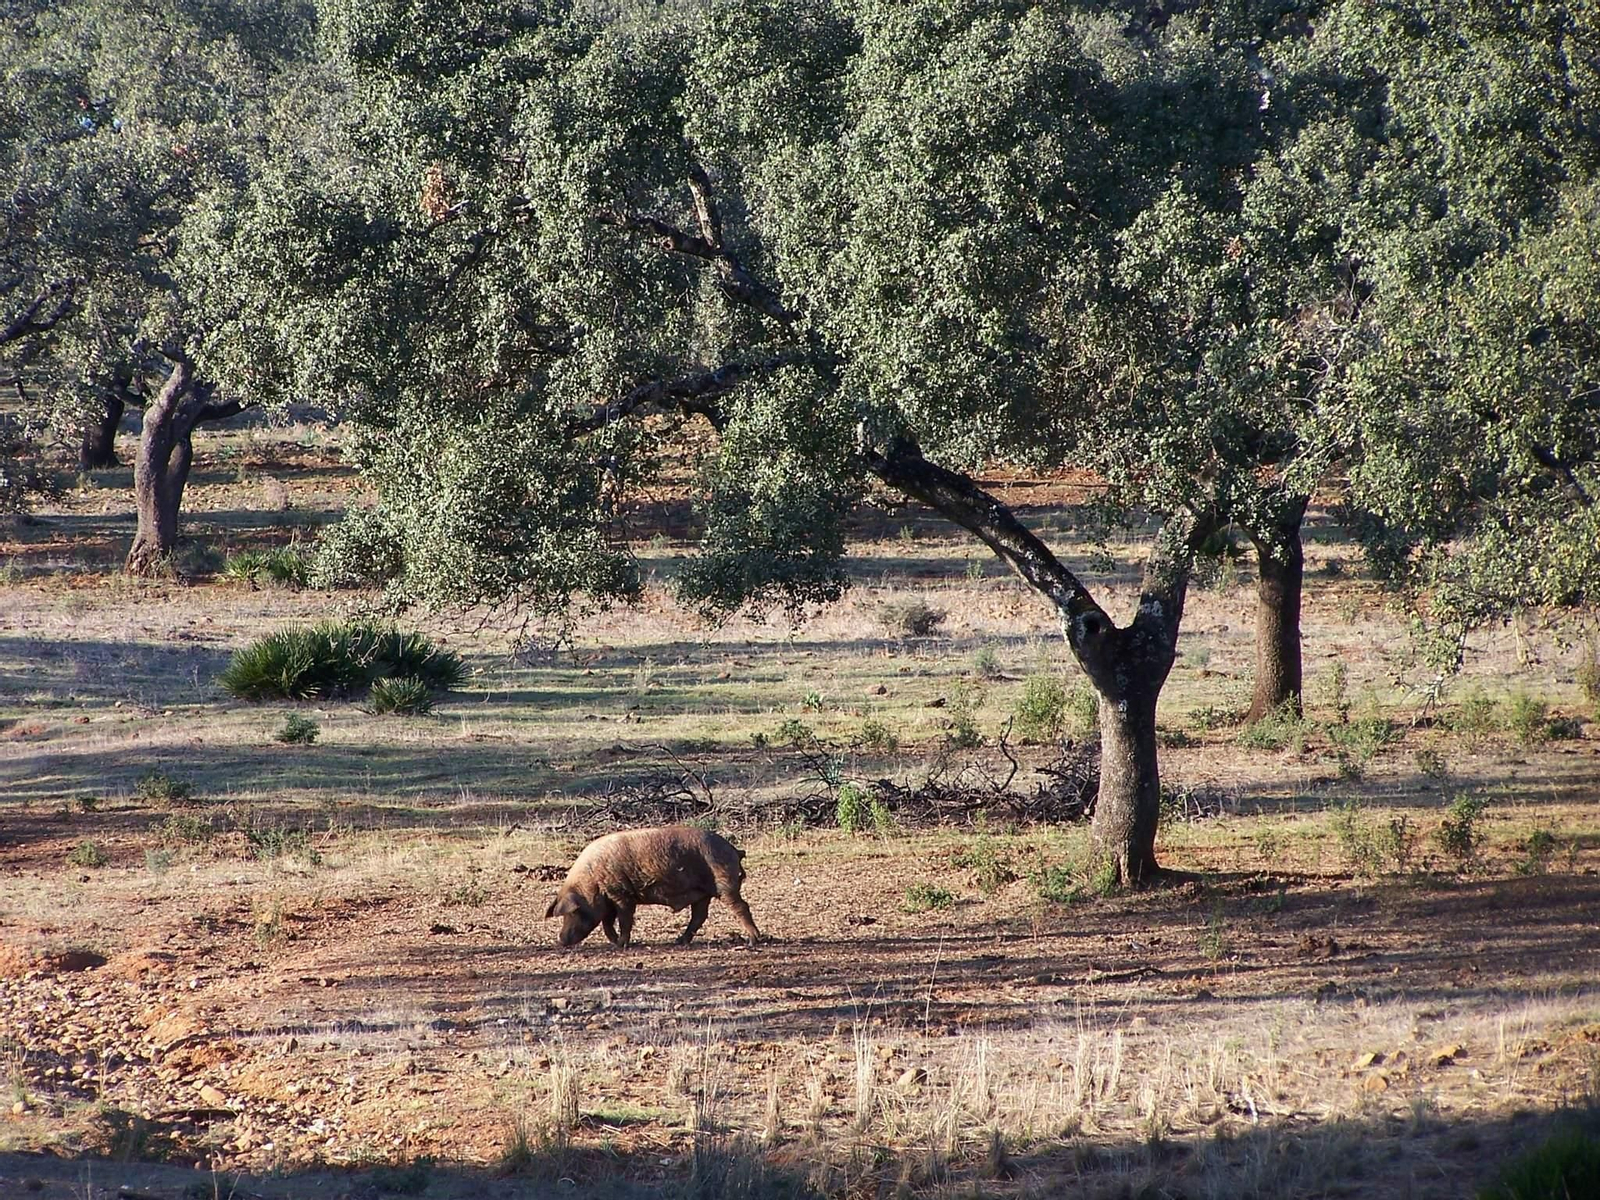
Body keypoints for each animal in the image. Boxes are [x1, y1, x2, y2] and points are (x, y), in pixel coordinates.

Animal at [544, 825, 760, 949]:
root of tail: (733, 849)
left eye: (573, 912)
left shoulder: (622, 895)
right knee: (699, 916)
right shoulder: (610, 899)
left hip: (724, 882)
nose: (561, 940)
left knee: (741, 907)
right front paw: (614, 943)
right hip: (702, 893)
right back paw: (679, 941)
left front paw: (621, 945)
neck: (591, 883)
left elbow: (624, 919)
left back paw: (753, 940)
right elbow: (607, 923)